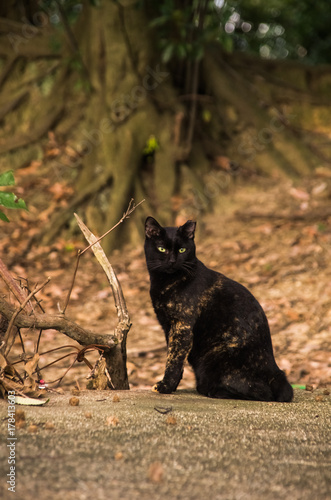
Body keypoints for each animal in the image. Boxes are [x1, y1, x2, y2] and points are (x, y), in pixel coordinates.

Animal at [144, 218, 294, 402]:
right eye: (161, 248)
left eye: (182, 249)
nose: (172, 261)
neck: (165, 282)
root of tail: (275, 370)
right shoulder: (168, 326)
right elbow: (173, 356)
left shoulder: (181, 326)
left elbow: (174, 360)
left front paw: (165, 387)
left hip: (217, 356)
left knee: (261, 392)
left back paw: (212, 390)